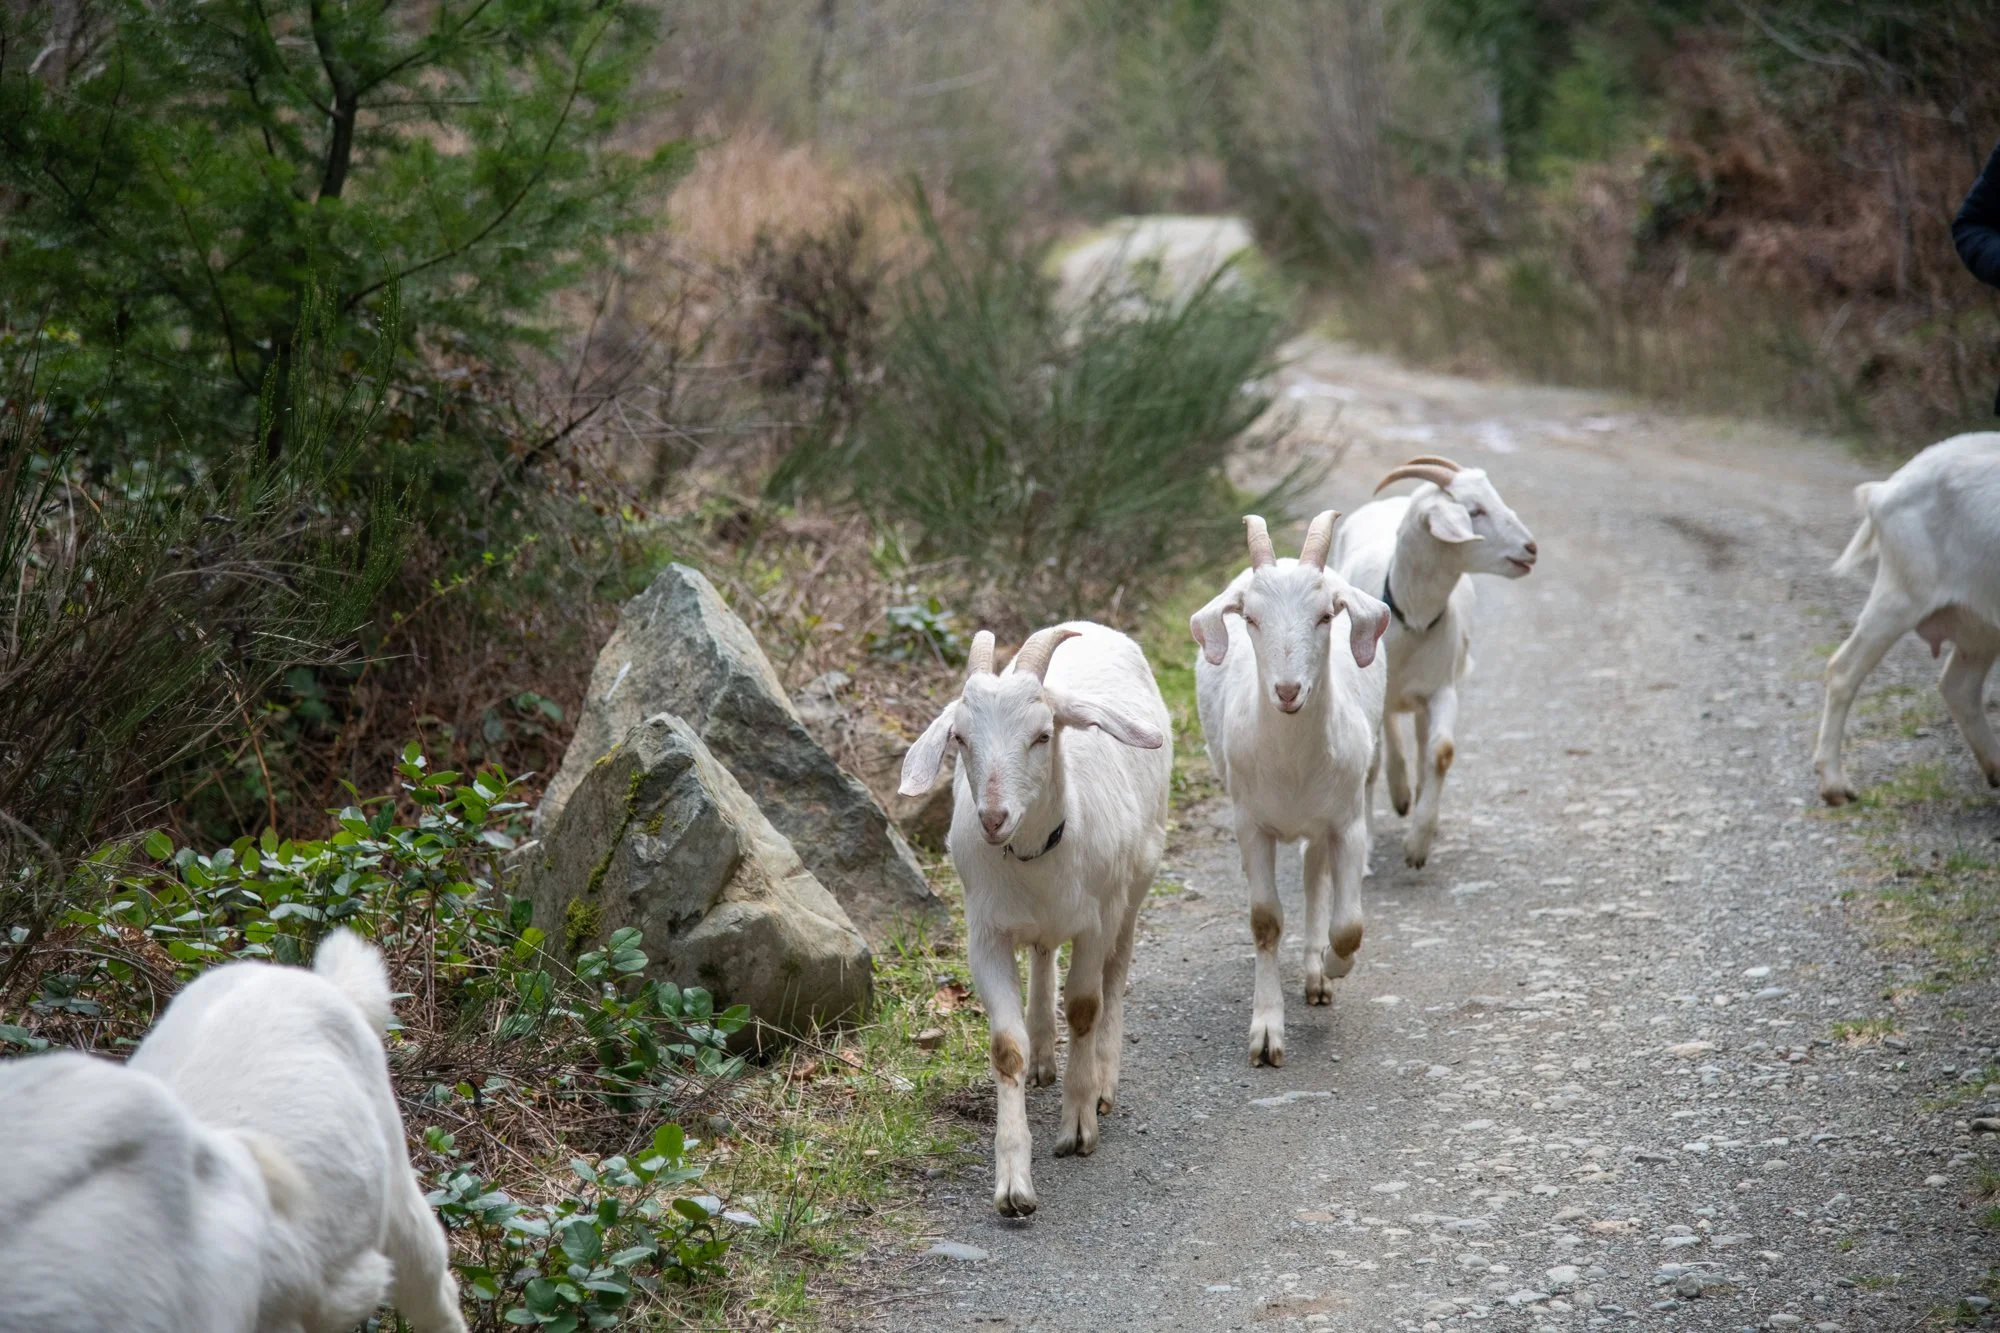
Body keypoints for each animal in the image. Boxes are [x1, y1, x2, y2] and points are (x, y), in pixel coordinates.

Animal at [900, 622, 1172, 1217]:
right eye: (960, 738)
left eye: (1043, 735)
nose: (993, 818)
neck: (1036, 856)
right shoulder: (985, 935)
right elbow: (1007, 1049)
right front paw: (1013, 1184)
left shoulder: (1096, 920)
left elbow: (1087, 1007)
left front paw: (1078, 1125)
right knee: (1045, 953)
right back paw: (1046, 1052)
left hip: (1134, 886)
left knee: (1116, 974)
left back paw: (1103, 1081)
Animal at [1191, 511, 1391, 1067]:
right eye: (1250, 619)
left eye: (1326, 616)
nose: (1286, 691)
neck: (1293, 765)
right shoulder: (1251, 824)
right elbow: (1265, 921)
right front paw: (1265, 1034)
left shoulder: (1347, 823)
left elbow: (1350, 925)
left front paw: (1334, 964)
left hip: (1326, 817)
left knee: (1314, 875)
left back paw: (1318, 970)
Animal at [1332, 456, 1537, 867]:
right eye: (1474, 510)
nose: (1531, 548)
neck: (1410, 619)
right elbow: (1370, 765)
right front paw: (1366, 845)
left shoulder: (1441, 688)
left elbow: (1441, 752)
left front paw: (1418, 844)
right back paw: (1399, 790)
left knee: (1420, 734)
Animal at [1814, 432, 2000, 805]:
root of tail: (1885, 489)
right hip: (1901, 594)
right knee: (1843, 670)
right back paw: (1836, 785)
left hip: (1981, 621)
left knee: (1959, 687)